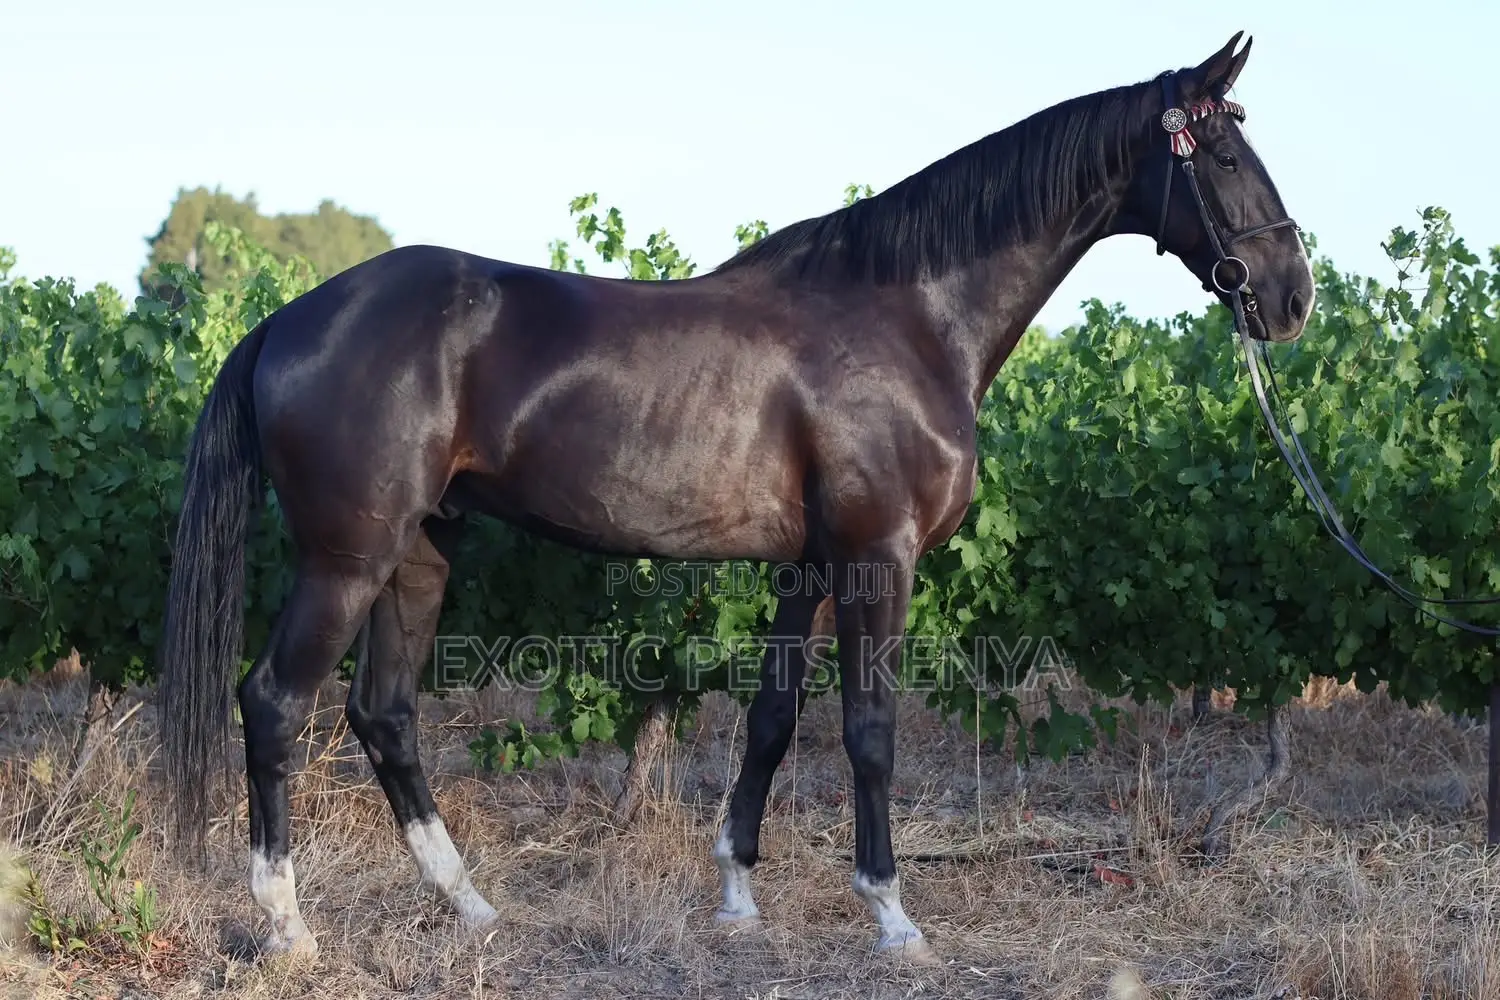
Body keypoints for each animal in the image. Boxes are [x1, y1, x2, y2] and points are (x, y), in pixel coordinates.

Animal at [156, 31, 1312, 965]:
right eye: (1221, 155)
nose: (1291, 296)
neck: (906, 314)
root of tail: (287, 320)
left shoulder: (810, 566)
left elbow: (770, 718)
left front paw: (737, 895)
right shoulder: (877, 558)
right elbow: (868, 728)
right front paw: (893, 916)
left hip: (419, 555)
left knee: (383, 714)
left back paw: (470, 904)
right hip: (346, 560)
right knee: (276, 704)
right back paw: (288, 926)